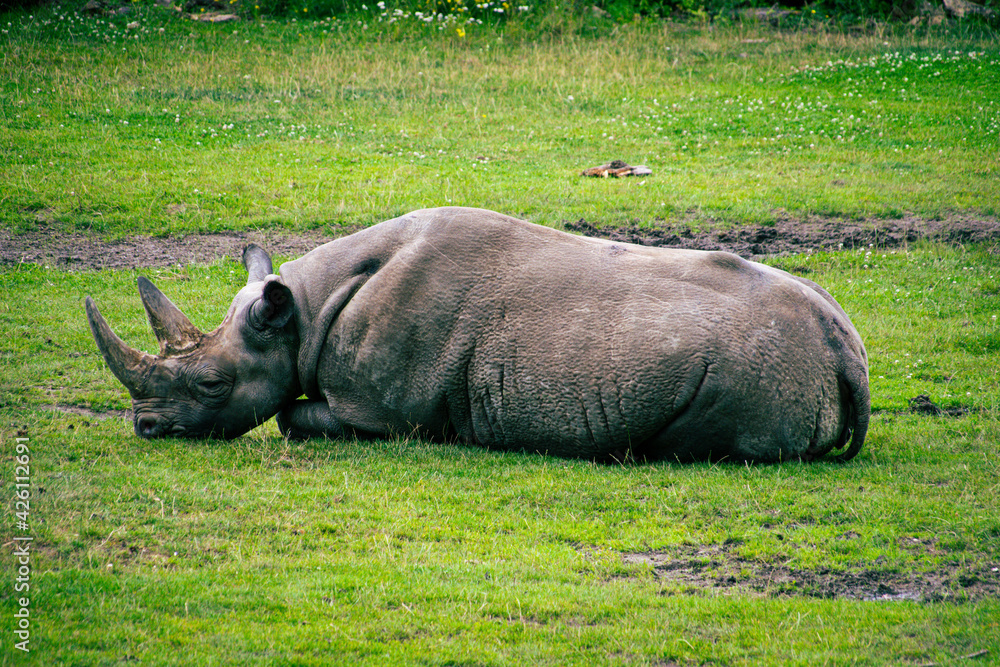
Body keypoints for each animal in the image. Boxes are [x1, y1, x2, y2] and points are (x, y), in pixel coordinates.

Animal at [85, 207, 870, 462]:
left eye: (212, 384)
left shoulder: (381, 413)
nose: (145, 428)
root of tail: (847, 352)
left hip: (753, 368)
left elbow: (289, 417)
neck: (300, 317)